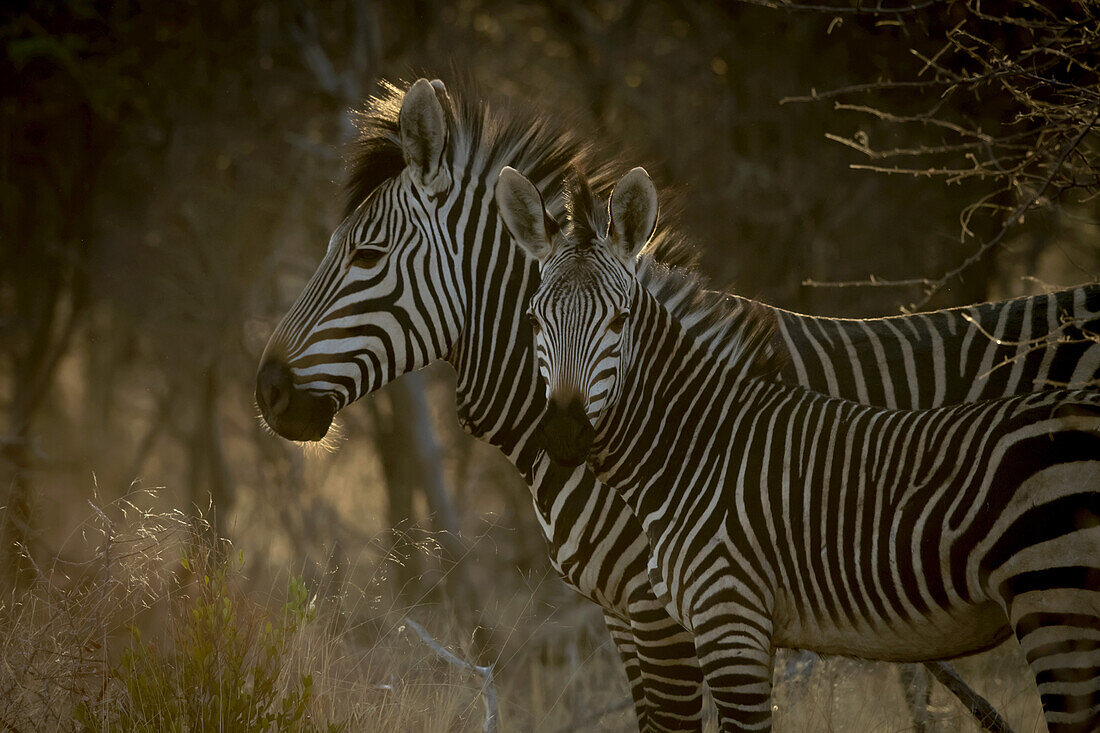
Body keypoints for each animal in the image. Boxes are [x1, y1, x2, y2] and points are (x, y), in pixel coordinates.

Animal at [499, 167, 1100, 730]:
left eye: (620, 319)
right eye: (532, 318)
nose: (565, 433)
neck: (697, 448)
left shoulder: (729, 617)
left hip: (1058, 605)